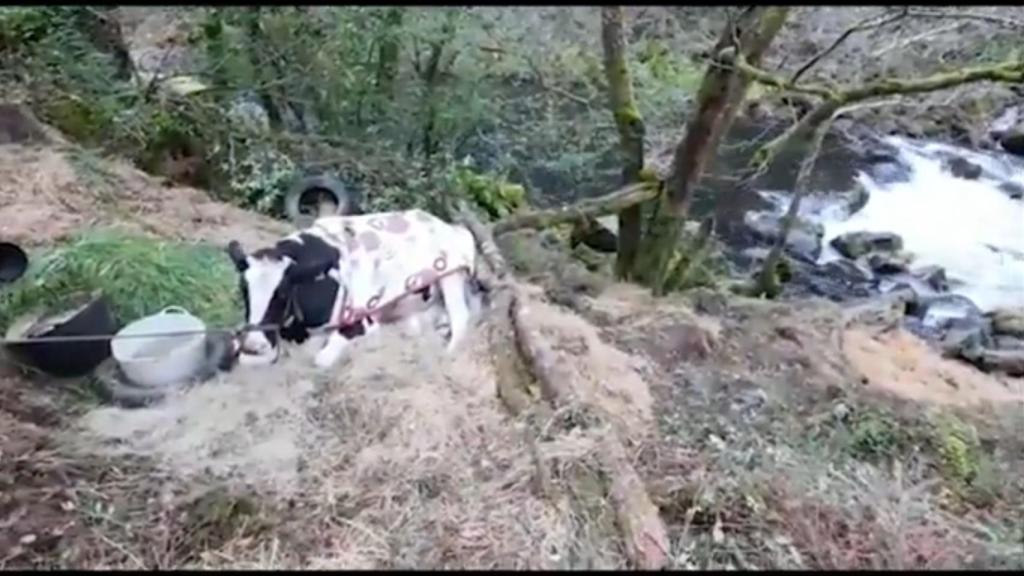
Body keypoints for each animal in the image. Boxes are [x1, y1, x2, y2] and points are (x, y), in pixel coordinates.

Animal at [226, 209, 486, 369]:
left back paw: (447, 353)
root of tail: (453, 226)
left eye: (282, 292)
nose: (254, 344)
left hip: (451, 276)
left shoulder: (363, 319)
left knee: (460, 316)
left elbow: (321, 359)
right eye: (243, 289)